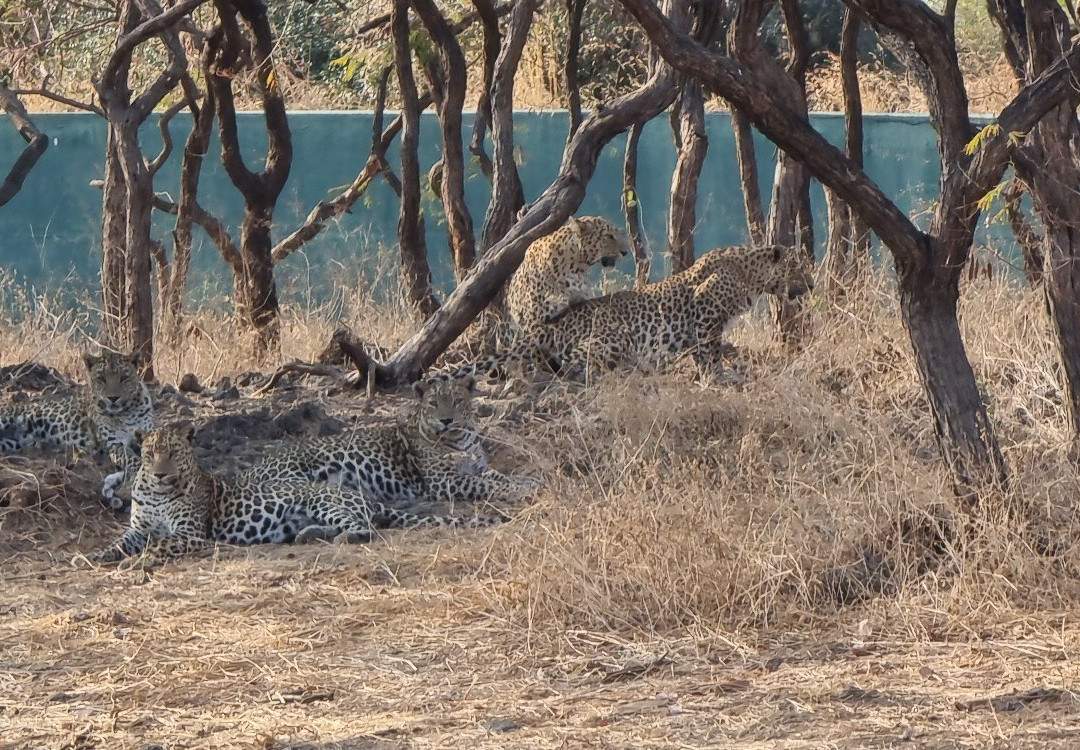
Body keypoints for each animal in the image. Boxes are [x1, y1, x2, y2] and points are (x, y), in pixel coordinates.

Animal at [0, 350, 153, 509]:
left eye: (124, 378)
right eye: (102, 379)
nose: (113, 398)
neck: (127, 412)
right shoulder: (114, 444)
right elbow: (133, 458)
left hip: (13, 442)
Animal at [91, 423, 507, 565]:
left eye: (174, 454)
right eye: (150, 454)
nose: (161, 472)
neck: (158, 491)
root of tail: (370, 499)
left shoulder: (190, 534)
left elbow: (162, 544)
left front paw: (139, 562)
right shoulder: (139, 529)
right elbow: (118, 543)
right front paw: (94, 556)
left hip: (324, 499)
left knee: (365, 529)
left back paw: (336, 538)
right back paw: (308, 535)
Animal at [242, 374, 537, 507]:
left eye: (456, 401)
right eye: (433, 403)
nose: (446, 420)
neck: (461, 437)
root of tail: (250, 469)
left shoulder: (480, 467)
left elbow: (498, 476)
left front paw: (527, 481)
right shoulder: (445, 481)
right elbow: (487, 484)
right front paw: (519, 490)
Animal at [437, 244, 814, 386]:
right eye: (799, 269)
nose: (811, 285)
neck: (751, 276)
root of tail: (547, 327)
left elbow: (702, 353)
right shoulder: (706, 316)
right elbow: (710, 353)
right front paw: (718, 377)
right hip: (615, 337)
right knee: (574, 363)